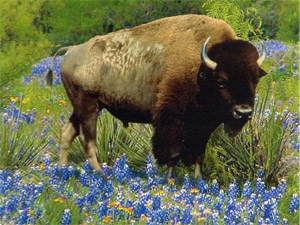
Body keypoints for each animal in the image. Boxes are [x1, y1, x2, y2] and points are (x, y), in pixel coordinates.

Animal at [45, 14, 266, 181]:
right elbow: (172, 151)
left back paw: (61, 172)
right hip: (88, 105)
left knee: (67, 133)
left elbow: (198, 154)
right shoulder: (172, 119)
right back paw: (102, 176)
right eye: (221, 80)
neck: (201, 69)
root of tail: (71, 50)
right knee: (87, 139)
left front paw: (199, 180)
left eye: (255, 79)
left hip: (85, 107)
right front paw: (168, 180)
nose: (243, 111)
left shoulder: (204, 126)